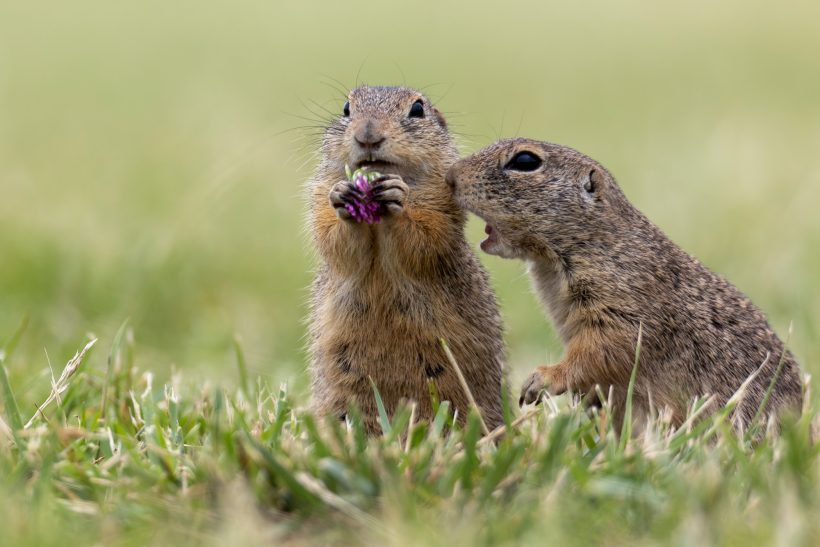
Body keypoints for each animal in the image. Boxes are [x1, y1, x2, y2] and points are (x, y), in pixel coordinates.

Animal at [306, 85, 506, 432]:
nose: (368, 135)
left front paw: (398, 199)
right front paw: (343, 198)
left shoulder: (444, 204)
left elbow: (426, 237)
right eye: (346, 108)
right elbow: (333, 238)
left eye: (417, 110)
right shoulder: (319, 196)